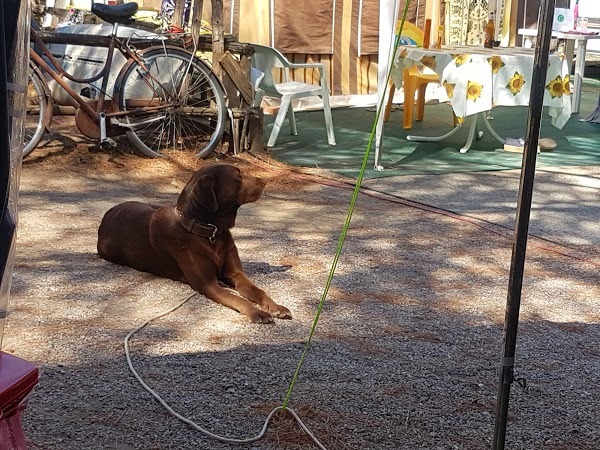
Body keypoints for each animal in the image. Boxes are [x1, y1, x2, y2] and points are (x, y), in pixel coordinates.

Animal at [97, 164, 292, 324]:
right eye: (238, 177)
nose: (265, 181)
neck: (208, 232)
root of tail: (108, 213)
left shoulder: (236, 274)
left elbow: (259, 290)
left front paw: (276, 307)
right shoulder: (208, 284)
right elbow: (238, 298)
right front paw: (257, 312)